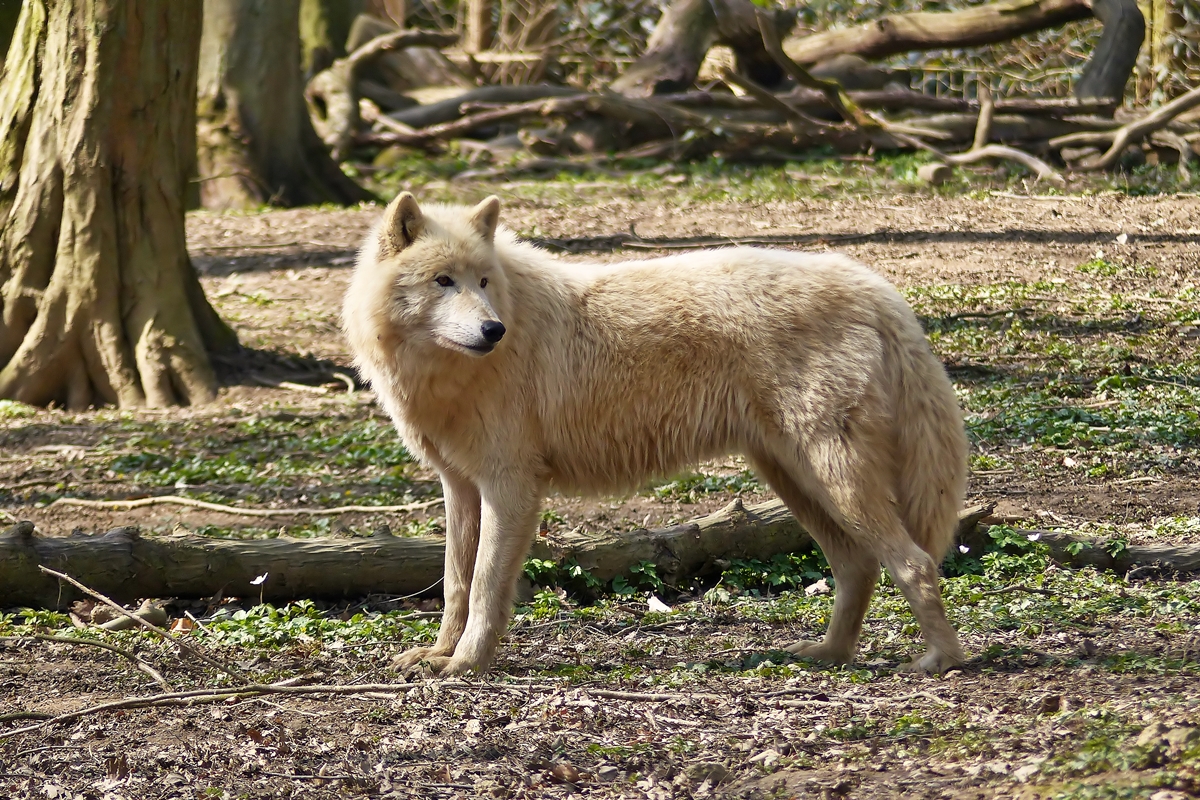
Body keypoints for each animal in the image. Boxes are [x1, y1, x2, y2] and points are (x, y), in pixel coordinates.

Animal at [343, 191, 969, 676]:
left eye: (483, 281)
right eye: (443, 281)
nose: (492, 330)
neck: (450, 376)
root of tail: (875, 287)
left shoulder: (511, 486)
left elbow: (484, 586)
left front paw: (468, 664)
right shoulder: (460, 487)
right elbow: (454, 582)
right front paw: (437, 655)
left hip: (832, 478)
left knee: (915, 563)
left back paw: (941, 660)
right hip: (796, 480)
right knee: (858, 567)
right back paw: (828, 655)